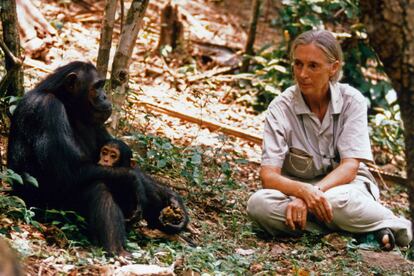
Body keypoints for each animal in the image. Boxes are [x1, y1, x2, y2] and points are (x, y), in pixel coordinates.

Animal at [7, 61, 145, 256]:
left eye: (102, 85)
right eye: (97, 86)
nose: (104, 96)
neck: (68, 105)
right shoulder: (48, 108)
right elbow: (66, 174)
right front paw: (133, 180)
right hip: (48, 212)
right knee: (97, 186)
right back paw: (117, 250)